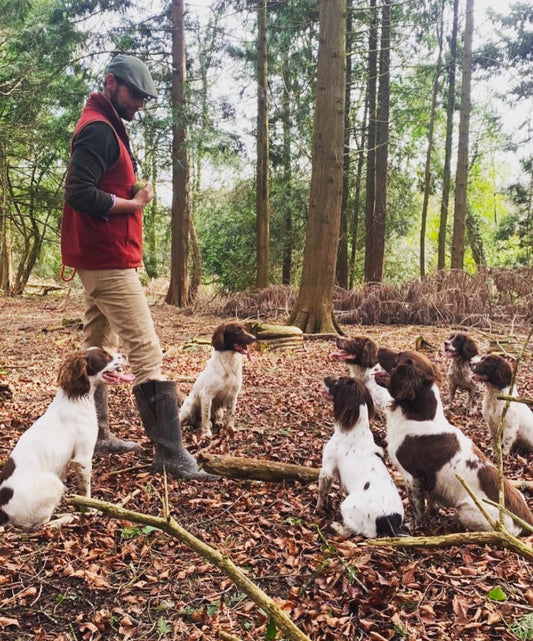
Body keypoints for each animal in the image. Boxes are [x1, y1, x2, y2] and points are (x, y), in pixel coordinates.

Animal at [0, 348, 132, 528]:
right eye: (104, 355)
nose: (125, 354)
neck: (75, 400)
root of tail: (3, 510)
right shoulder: (83, 458)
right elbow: (85, 491)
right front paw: (90, 510)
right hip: (53, 481)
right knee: (42, 524)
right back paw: (68, 516)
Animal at [316, 372, 404, 536]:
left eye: (337, 382)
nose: (325, 378)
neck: (354, 429)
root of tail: (389, 521)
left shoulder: (326, 469)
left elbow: (322, 492)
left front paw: (318, 508)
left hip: (348, 506)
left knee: (353, 532)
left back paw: (336, 526)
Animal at [374, 350, 532, 536]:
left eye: (398, 357)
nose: (378, 349)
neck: (417, 417)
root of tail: (526, 522)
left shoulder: (411, 477)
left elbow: (416, 508)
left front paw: (412, 526)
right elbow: (430, 499)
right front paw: (432, 512)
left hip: (465, 511)